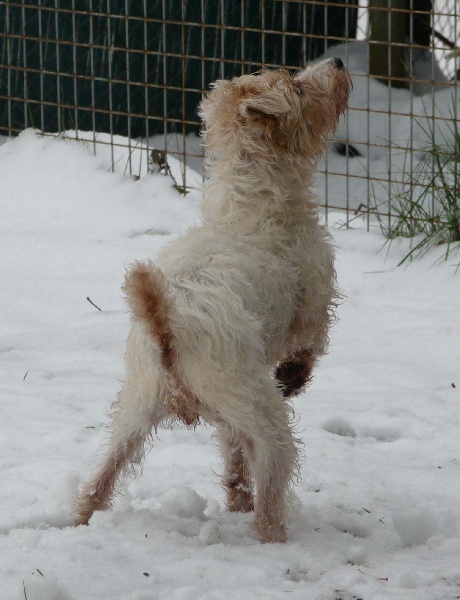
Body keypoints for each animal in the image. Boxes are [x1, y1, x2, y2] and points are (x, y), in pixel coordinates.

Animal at [74, 57, 352, 544]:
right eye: (297, 88)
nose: (337, 61)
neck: (252, 200)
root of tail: (166, 327)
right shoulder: (315, 297)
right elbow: (313, 341)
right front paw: (294, 376)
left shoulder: (229, 418)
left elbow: (232, 453)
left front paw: (236, 497)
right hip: (264, 415)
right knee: (272, 488)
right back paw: (276, 538)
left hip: (135, 411)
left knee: (99, 481)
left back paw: (78, 521)